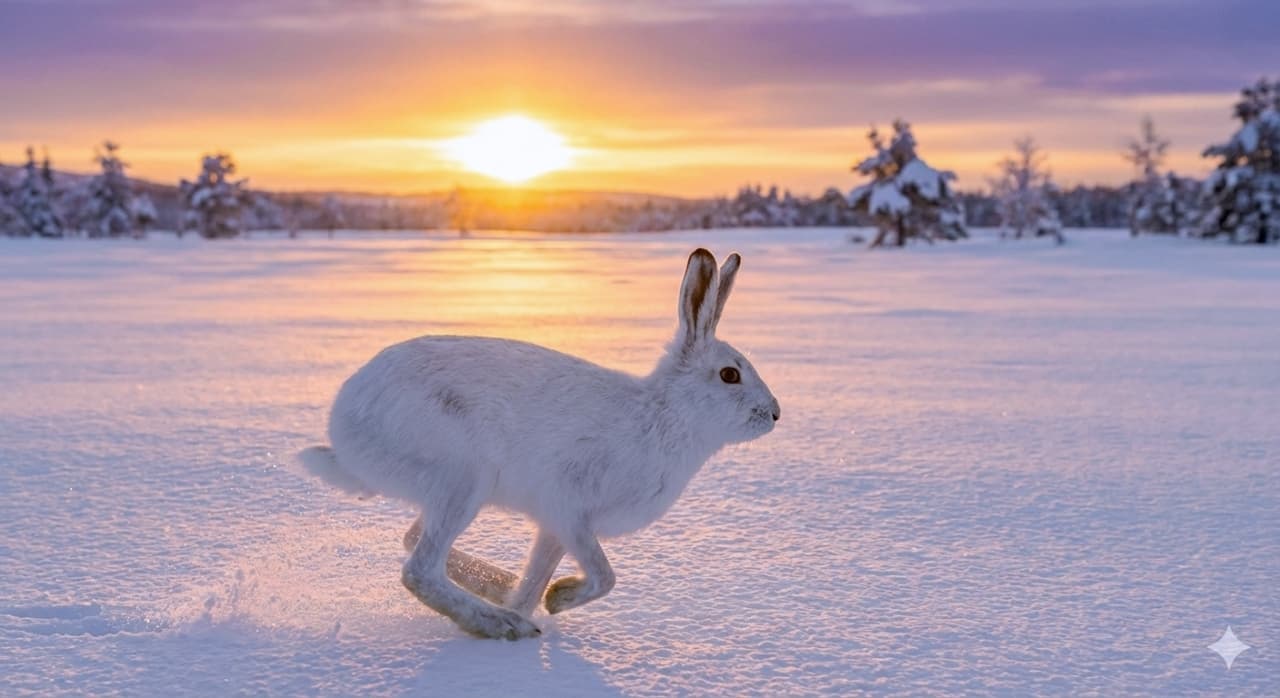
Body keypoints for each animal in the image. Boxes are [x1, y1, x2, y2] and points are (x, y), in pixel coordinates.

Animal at [299, 248, 780, 640]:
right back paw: (497, 624)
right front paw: (557, 599)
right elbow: (605, 575)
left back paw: (498, 592)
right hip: (462, 479)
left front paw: (537, 601)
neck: (666, 413)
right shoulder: (568, 510)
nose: (774, 414)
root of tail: (345, 428)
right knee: (418, 570)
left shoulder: (554, 527)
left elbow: (539, 579)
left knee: (414, 538)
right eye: (729, 375)